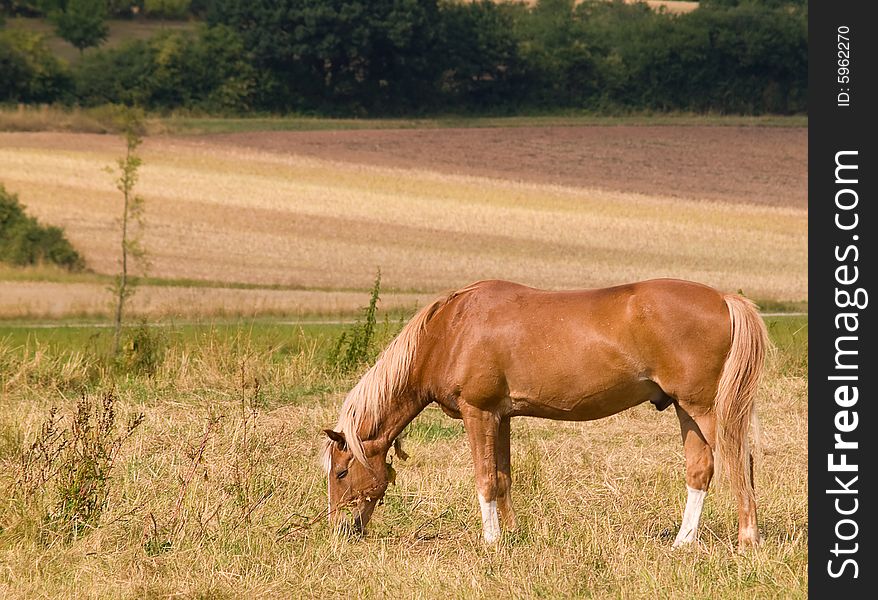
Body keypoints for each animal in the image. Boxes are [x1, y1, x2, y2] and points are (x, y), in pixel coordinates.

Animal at [324, 278, 768, 552]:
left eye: (342, 472)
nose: (340, 530)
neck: (450, 332)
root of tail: (724, 299)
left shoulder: (478, 413)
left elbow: (484, 479)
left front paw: (490, 541)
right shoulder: (501, 417)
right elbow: (502, 477)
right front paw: (510, 536)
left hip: (704, 410)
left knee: (738, 463)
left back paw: (747, 539)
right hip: (686, 410)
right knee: (701, 470)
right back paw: (683, 541)